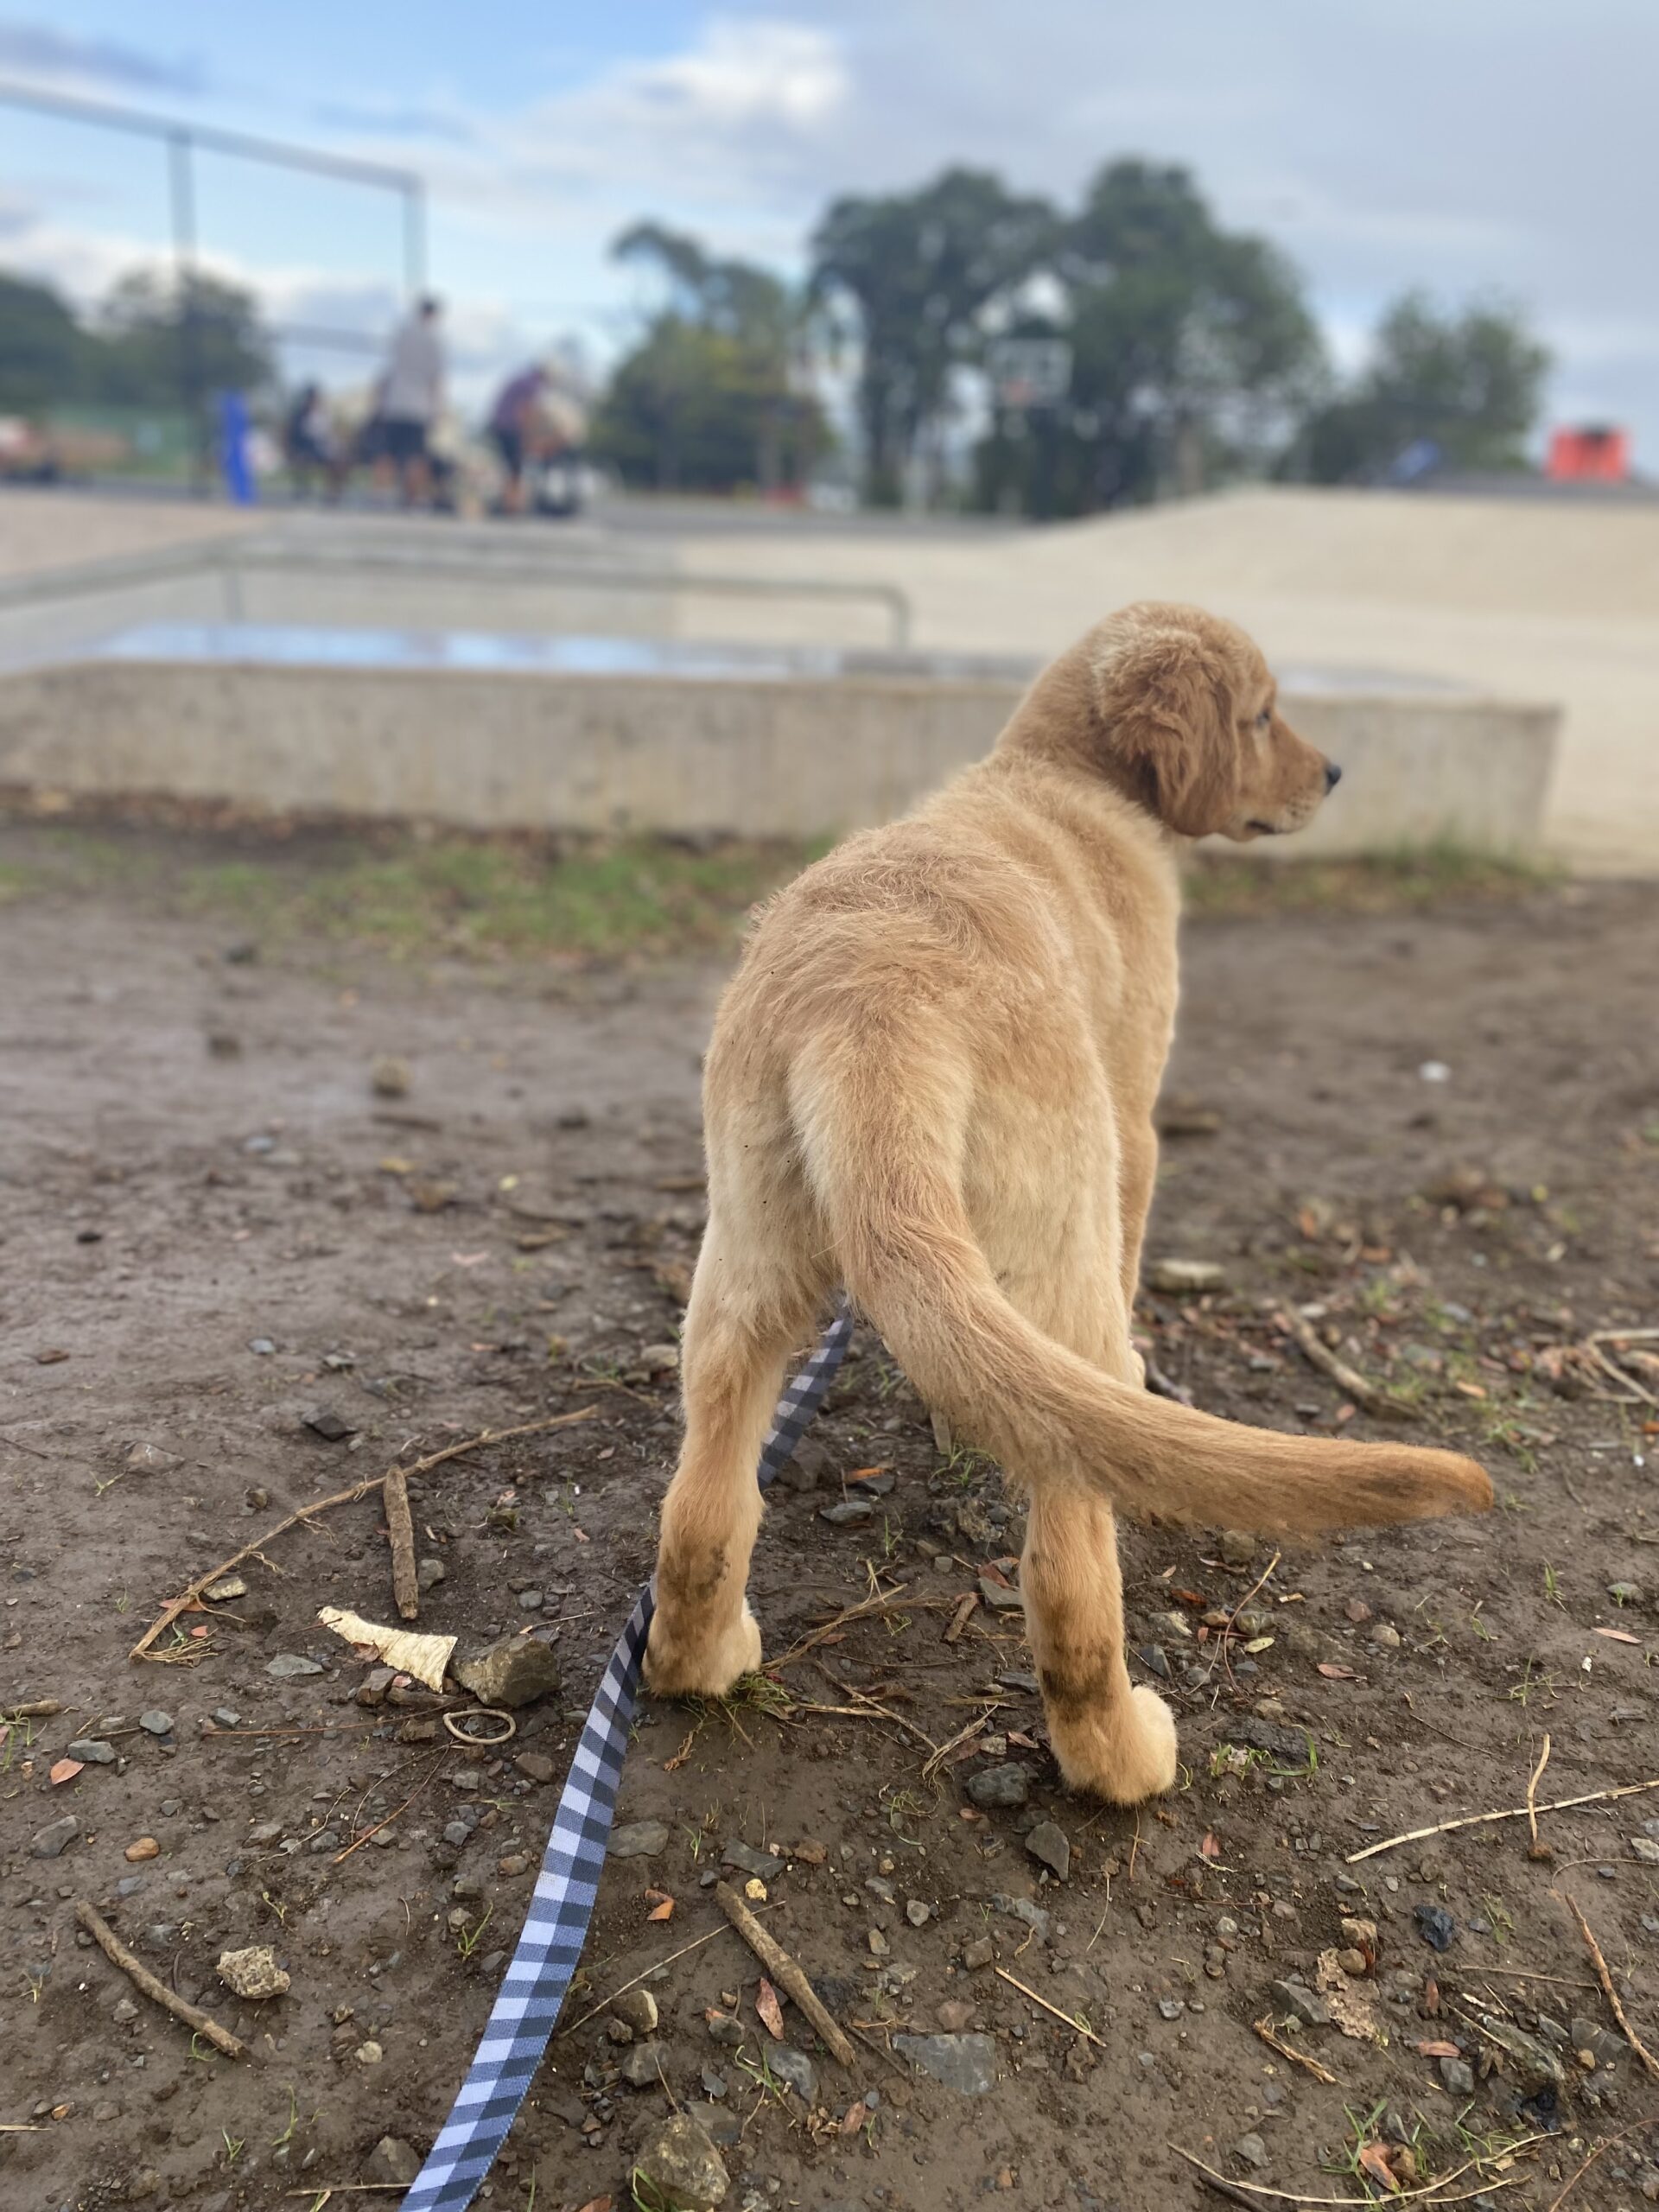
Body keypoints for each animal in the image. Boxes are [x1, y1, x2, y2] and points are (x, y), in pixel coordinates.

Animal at [645, 601, 1495, 1796]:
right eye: (1262, 714)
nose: (1335, 773)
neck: (1061, 772)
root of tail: (874, 1012)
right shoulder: (1136, 1122)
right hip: (1063, 1248)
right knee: (1070, 1564)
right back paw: (1124, 1757)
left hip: (744, 1265)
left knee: (703, 1511)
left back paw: (704, 1658)